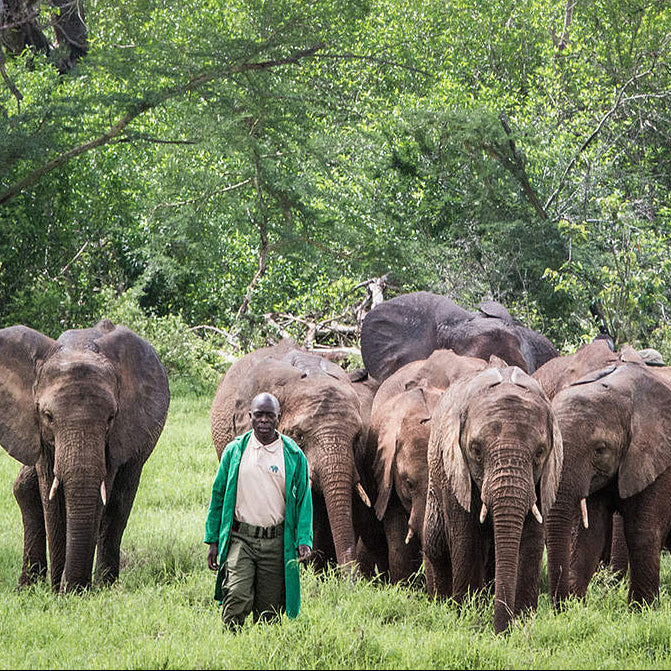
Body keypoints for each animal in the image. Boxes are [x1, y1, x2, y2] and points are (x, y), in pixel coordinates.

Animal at [0, 319, 170, 593]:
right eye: (48, 416)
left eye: (111, 418)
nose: (71, 588)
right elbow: (50, 497)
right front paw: (58, 591)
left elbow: (102, 493)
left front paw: (71, 591)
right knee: (24, 488)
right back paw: (27, 587)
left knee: (119, 502)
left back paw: (106, 585)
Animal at [423, 364, 563, 634]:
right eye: (476, 450)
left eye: (540, 452)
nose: (501, 634)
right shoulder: (455, 475)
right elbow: (466, 539)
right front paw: (469, 616)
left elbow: (530, 540)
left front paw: (523, 620)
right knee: (435, 541)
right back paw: (441, 604)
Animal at [544, 358, 671, 610]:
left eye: (600, 449)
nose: (560, 608)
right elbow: (590, 533)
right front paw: (577, 607)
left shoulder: (661, 460)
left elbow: (643, 531)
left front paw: (640, 610)